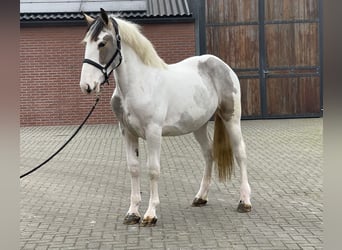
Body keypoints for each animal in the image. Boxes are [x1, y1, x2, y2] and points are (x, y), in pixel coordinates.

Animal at [79, 8, 251, 226]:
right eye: (86, 43)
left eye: (102, 43)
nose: (86, 85)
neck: (139, 84)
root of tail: (221, 65)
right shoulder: (127, 132)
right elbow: (133, 168)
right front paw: (132, 213)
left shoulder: (153, 132)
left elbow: (153, 169)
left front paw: (150, 214)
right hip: (199, 125)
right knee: (208, 154)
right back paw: (200, 197)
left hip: (232, 119)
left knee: (240, 153)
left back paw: (245, 201)